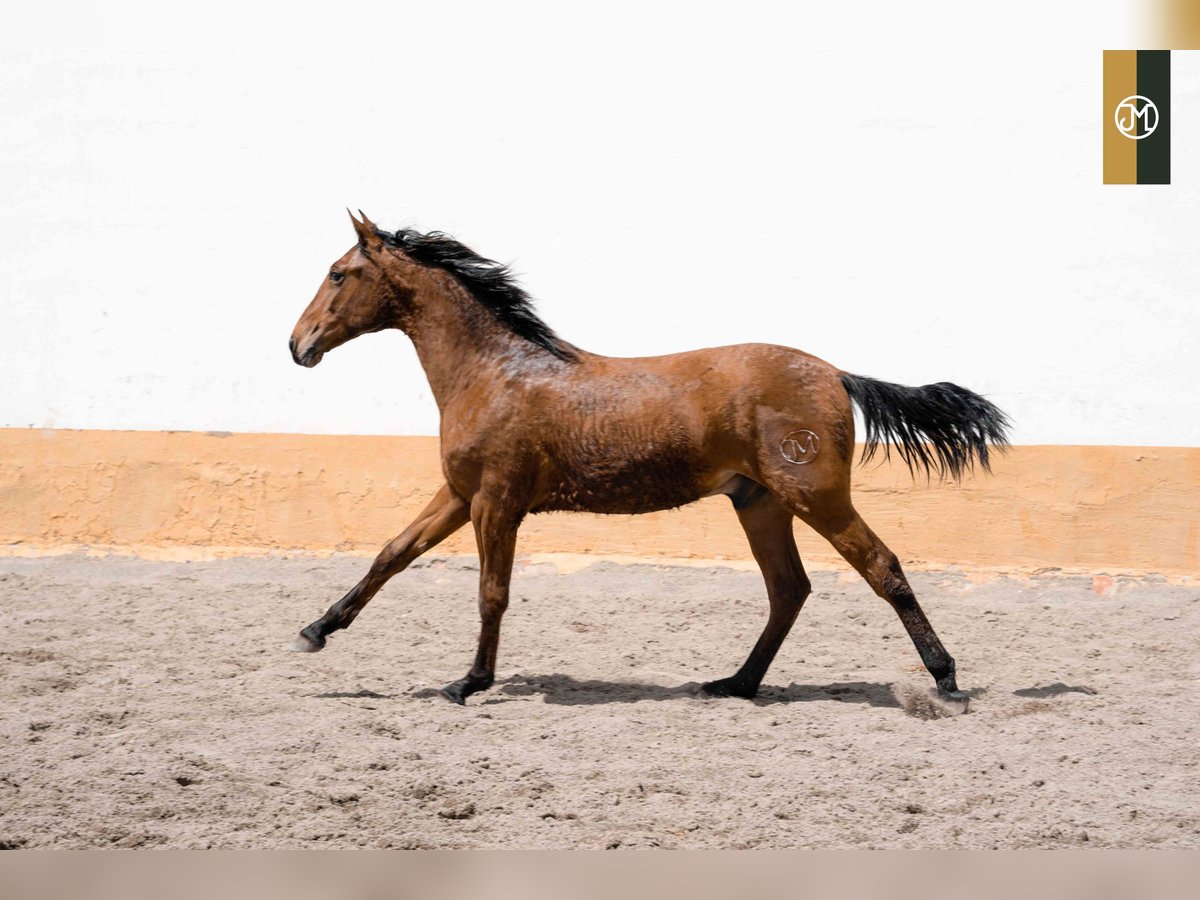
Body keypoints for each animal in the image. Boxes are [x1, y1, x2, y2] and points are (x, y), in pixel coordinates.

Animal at [285, 213, 1008, 710]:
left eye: (338, 273)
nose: (298, 344)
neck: (494, 372)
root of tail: (836, 374)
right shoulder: (461, 495)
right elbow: (391, 554)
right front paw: (315, 630)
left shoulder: (496, 502)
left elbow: (492, 592)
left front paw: (469, 682)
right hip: (761, 502)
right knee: (788, 590)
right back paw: (734, 683)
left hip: (817, 495)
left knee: (882, 568)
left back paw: (946, 680)